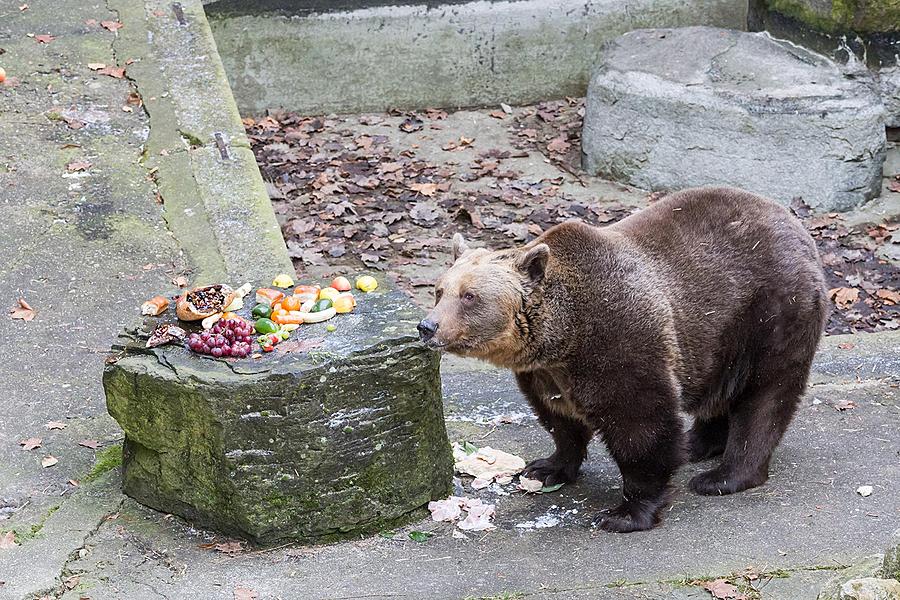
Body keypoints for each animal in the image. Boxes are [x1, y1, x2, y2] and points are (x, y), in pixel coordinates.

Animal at [422, 185, 828, 532]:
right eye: (440, 290)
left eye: (470, 296)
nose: (427, 326)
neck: (564, 337)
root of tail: (798, 227)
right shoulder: (545, 373)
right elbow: (559, 420)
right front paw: (546, 467)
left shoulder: (619, 340)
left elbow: (641, 427)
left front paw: (625, 513)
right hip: (719, 337)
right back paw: (696, 444)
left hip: (770, 313)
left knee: (765, 394)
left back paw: (723, 475)